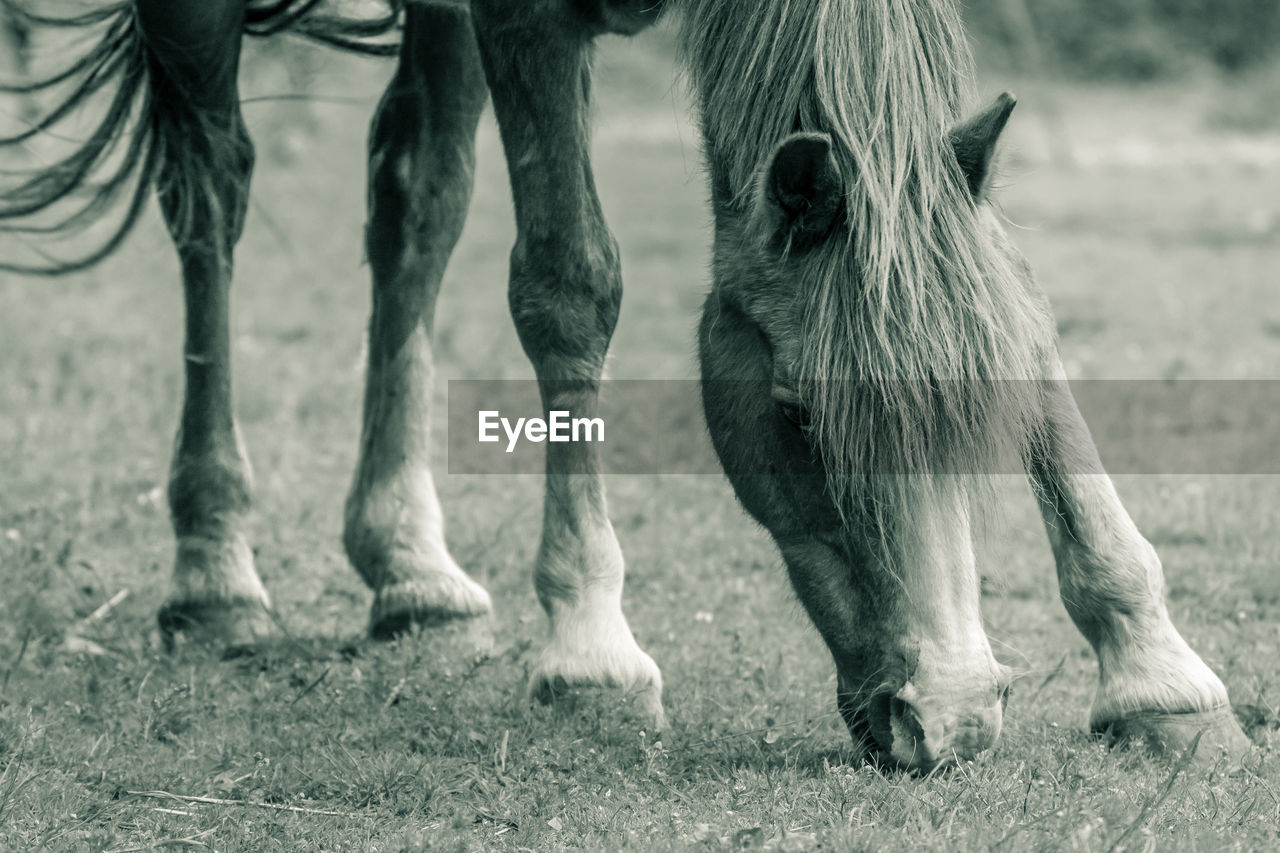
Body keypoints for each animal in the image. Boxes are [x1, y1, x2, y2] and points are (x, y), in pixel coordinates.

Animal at [0, 0, 1249, 768]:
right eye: (794, 418)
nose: (952, 718)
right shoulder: (527, 18)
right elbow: (568, 284)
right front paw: (589, 656)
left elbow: (1020, 298)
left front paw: (1157, 677)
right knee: (209, 195)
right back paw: (215, 572)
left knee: (415, 195)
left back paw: (411, 569)